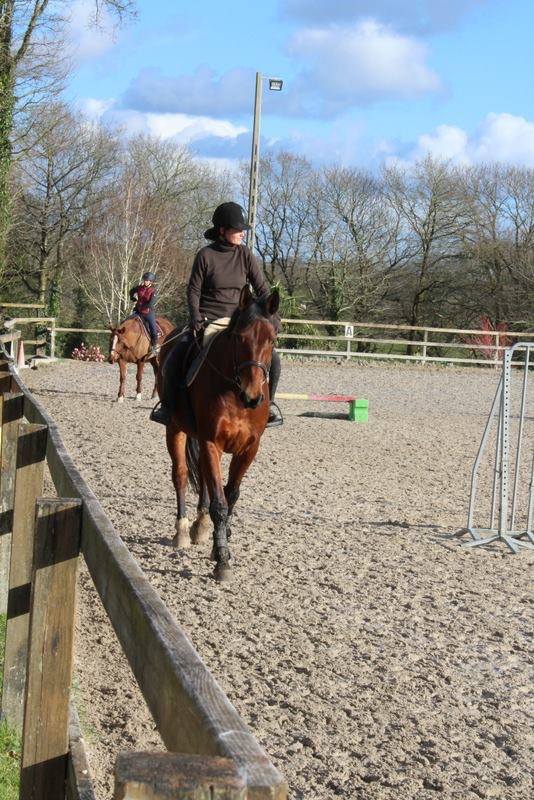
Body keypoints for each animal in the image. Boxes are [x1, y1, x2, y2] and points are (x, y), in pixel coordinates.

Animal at [159, 285, 280, 582]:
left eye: (272, 340)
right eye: (239, 338)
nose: (252, 396)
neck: (233, 391)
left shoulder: (249, 448)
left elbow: (230, 494)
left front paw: (221, 540)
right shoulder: (211, 442)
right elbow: (219, 503)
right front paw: (222, 558)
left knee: (202, 478)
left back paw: (200, 526)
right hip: (175, 429)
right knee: (180, 475)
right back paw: (182, 531)